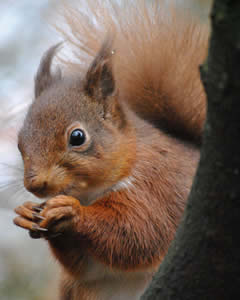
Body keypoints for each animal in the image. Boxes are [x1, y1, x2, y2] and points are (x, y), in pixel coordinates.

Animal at [13, 1, 208, 298]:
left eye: (77, 137)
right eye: (19, 141)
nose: (35, 184)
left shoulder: (155, 188)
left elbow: (138, 233)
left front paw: (71, 212)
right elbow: (86, 266)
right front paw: (27, 212)